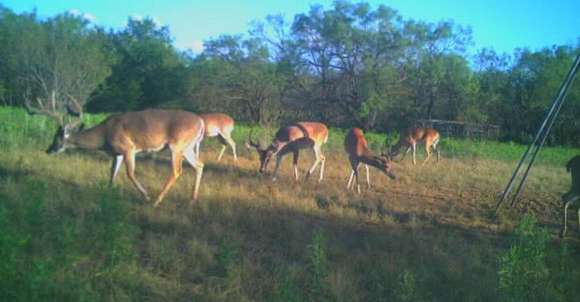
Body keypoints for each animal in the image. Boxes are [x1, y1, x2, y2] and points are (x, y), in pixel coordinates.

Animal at [44, 108, 206, 208]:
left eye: (56, 138)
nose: (48, 150)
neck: (104, 135)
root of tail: (201, 122)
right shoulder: (118, 153)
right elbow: (112, 173)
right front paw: (107, 194)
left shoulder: (129, 148)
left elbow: (130, 173)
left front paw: (145, 195)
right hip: (187, 147)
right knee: (199, 165)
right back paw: (192, 200)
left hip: (176, 145)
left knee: (177, 170)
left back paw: (156, 201)